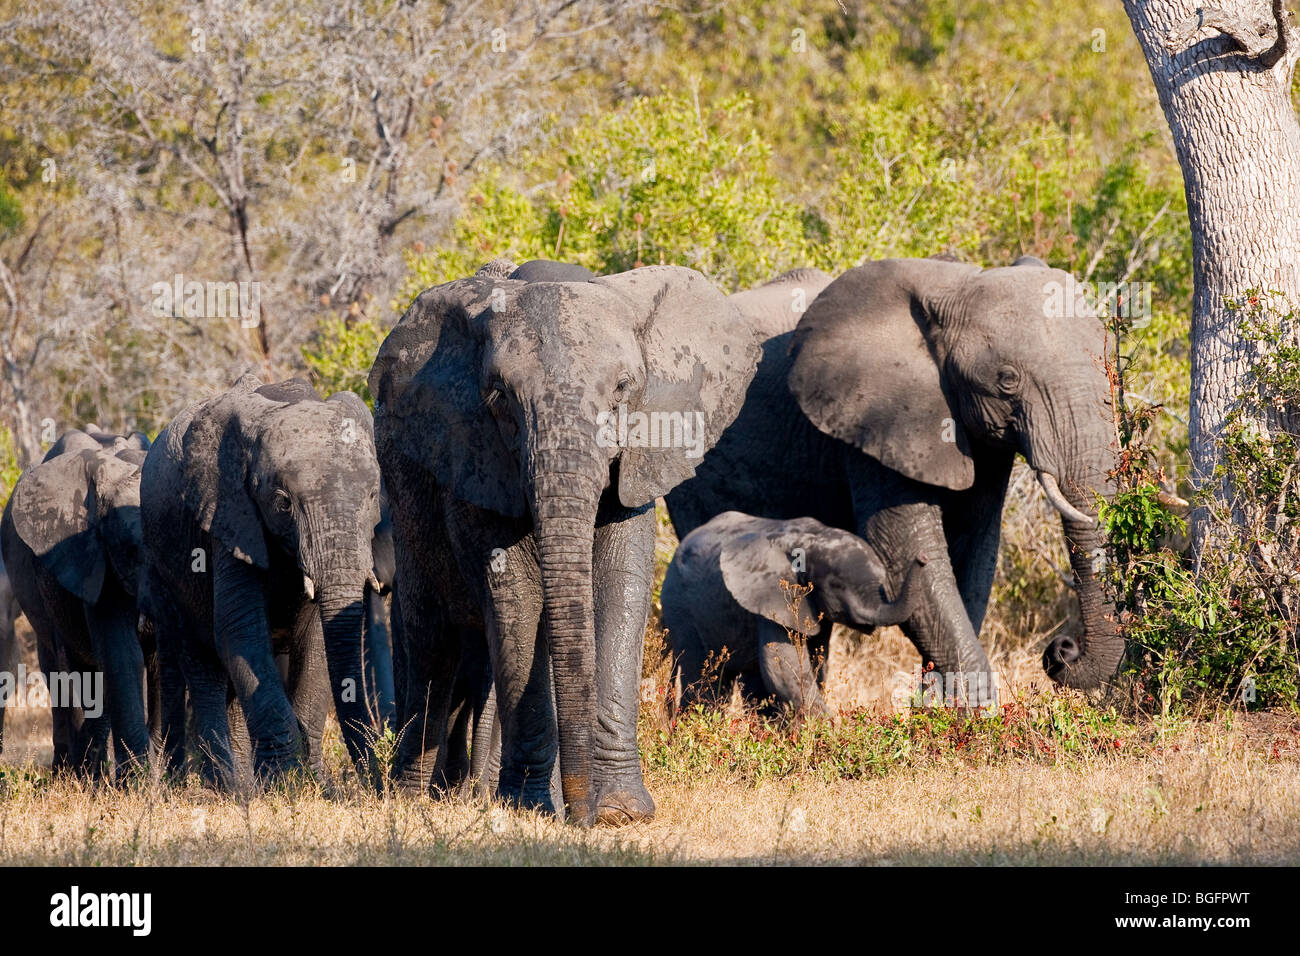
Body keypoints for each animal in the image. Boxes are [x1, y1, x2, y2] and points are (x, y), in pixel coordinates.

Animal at [0, 437, 154, 775]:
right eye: (128, 549)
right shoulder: (93, 558)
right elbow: (121, 656)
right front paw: (136, 782)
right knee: (61, 667)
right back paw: (73, 772)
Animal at [369, 257, 759, 827]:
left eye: (623, 388)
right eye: (499, 397)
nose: (583, 815)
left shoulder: (637, 458)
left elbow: (620, 585)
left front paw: (622, 812)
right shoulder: (476, 454)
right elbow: (517, 594)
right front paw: (530, 809)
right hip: (402, 483)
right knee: (431, 638)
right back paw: (411, 798)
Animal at [660, 512, 925, 712]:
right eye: (837, 585)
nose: (921, 558)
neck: (810, 540)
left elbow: (816, 663)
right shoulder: (772, 599)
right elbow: (785, 673)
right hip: (679, 604)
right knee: (703, 679)